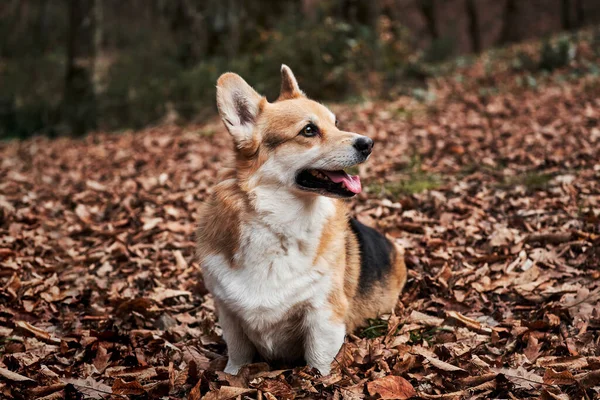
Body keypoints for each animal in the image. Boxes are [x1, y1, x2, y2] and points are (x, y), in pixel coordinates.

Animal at [197, 65, 408, 376]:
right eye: (309, 130)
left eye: (336, 122)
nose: (369, 144)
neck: (280, 225)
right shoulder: (229, 316)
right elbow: (236, 362)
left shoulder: (323, 316)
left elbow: (318, 363)